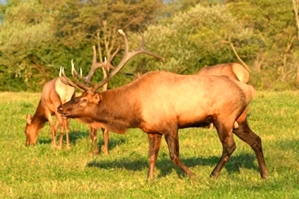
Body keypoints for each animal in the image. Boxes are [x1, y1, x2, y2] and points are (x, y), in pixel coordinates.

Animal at [57, 29, 268, 180]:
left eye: (83, 99)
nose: (61, 108)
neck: (135, 110)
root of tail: (248, 89)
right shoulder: (152, 130)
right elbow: (152, 156)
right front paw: (149, 180)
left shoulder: (170, 124)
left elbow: (174, 155)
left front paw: (193, 175)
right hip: (239, 119)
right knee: (256, 140)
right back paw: (264, 174)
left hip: (224, 117)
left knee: (230, 146)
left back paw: (213, 174)